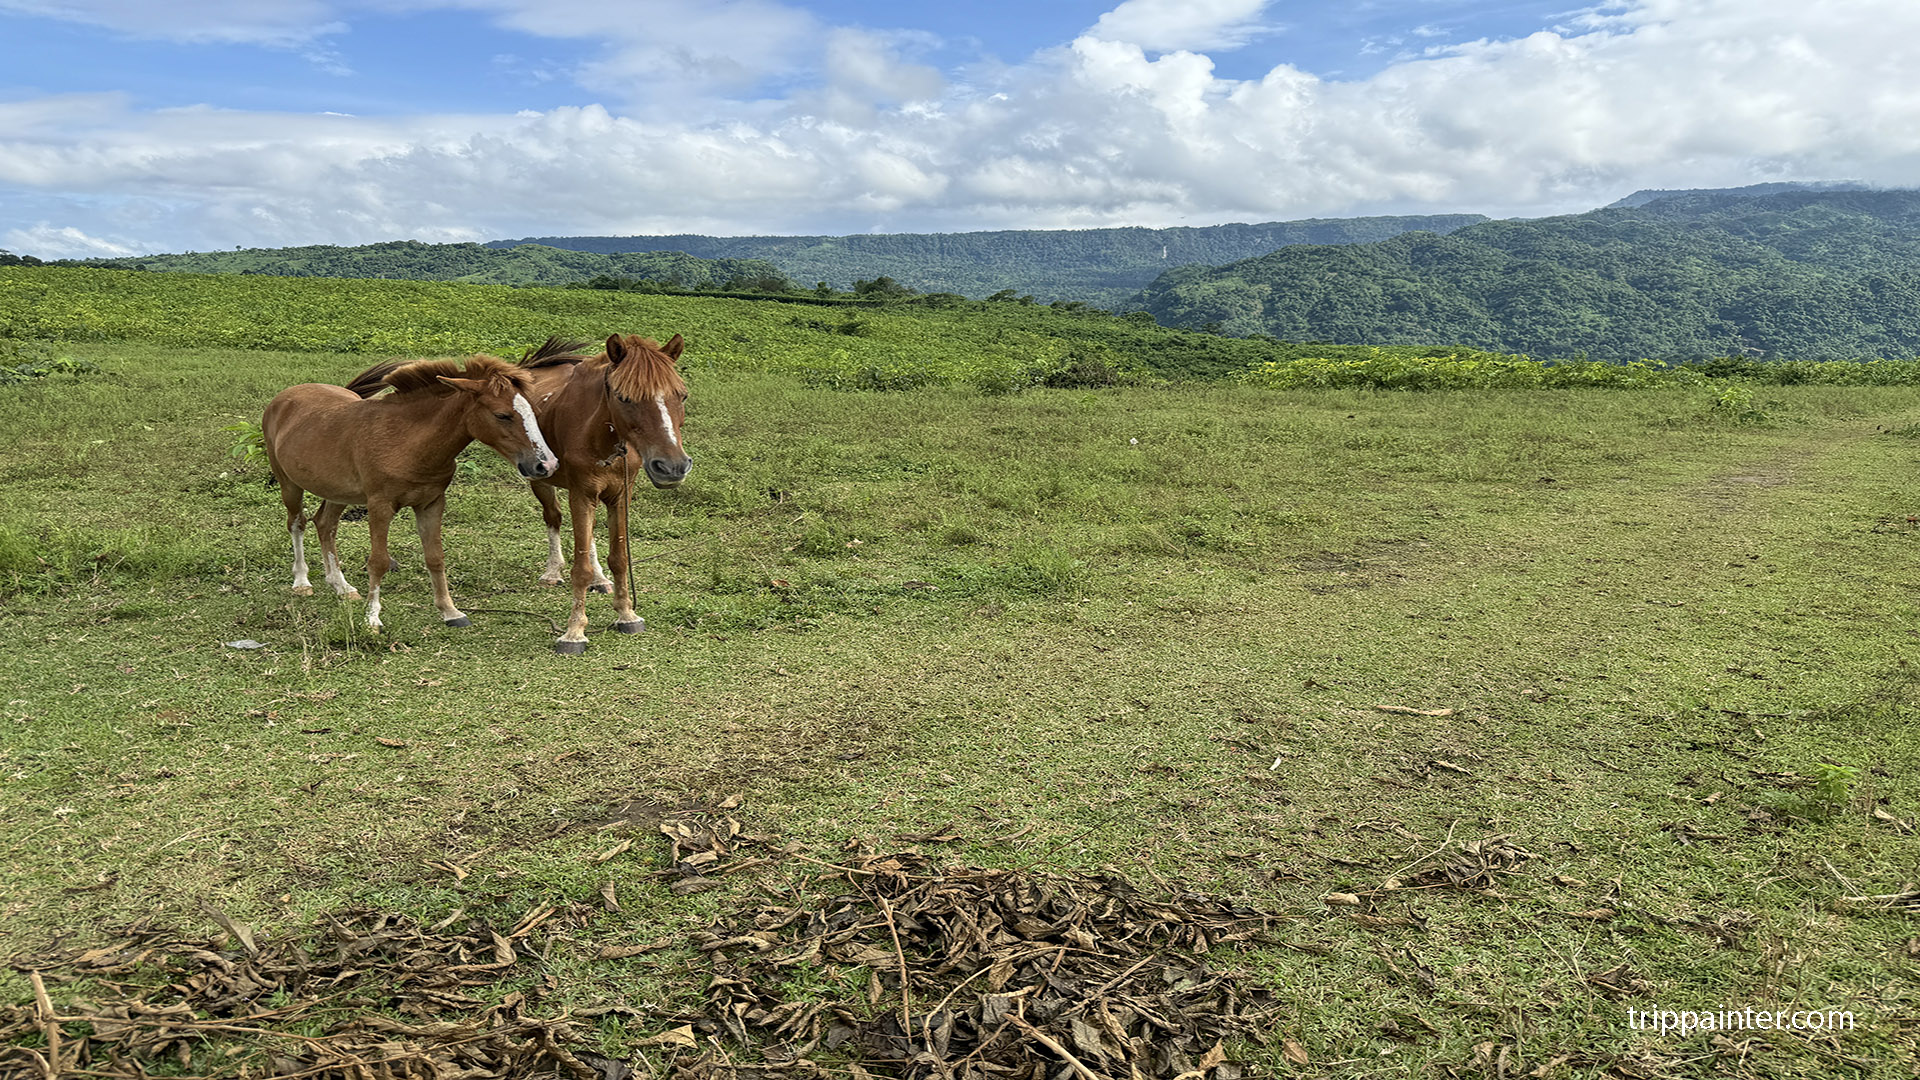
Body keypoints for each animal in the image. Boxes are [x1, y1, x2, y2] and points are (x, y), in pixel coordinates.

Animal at [259, 351, 556, 630]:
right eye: (502, 415)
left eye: (534, 412)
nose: (546, 464)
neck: (406, 440)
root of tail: (283, 398)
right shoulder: (379, 505)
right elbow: (378, 561)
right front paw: (372, 618)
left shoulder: (431, 503)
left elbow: (435, 557)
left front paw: (450, 612)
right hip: (289, 483)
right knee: (297, 523)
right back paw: (301, 582)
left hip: (337, 492)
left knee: (325, 525)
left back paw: (342, 586)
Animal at [518, 330, 691, 645]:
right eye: (624, 398)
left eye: (681, 395)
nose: (673, 466)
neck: (600, 434)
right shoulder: (581, 493)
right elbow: (580, 567)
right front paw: (574, 630)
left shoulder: (620, 495)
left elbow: (619, 558)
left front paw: (627, 613)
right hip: (540, 480)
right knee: (553, 518)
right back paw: (552, 571)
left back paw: (599, 579)